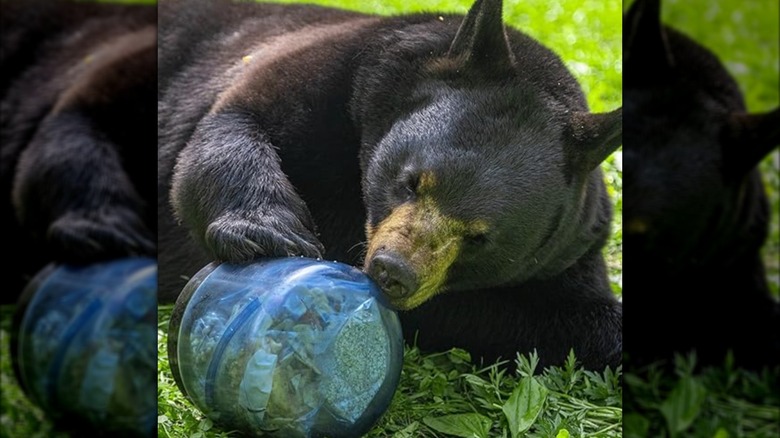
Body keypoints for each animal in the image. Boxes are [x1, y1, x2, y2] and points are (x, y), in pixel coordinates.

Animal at [158, 0, 623, 371]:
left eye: (479, 238)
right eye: (411, 182)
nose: (392, 270)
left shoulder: (571, 252)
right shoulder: (324, 71)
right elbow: (231, 124)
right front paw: (270, 233)